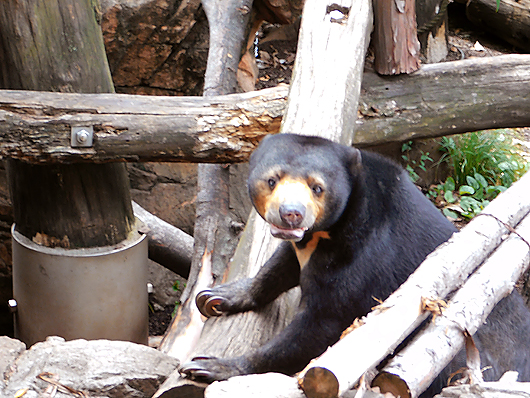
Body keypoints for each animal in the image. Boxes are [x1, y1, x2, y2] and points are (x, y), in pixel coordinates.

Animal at [180, 133, 528, 392]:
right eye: (272, 180)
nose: (291, 213)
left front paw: (210, 366)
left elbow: (320, 325)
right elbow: (281, 266)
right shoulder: (307, 246)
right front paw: (217, 296)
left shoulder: (363, 256)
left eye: (317, 187)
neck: (327, 232)